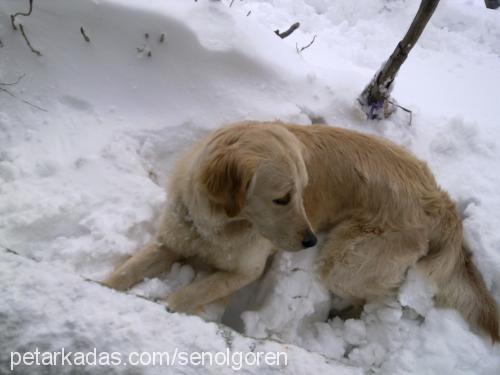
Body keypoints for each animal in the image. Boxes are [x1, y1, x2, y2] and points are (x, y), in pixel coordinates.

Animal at [103, 122, 498, 342]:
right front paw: (102, 288)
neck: (217, 225)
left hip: (346, 260)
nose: (309, 240)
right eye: (281, 198)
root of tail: (440, 201)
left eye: (303, 192)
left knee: (382, 298)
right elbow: (124, 272)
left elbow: (183, 296)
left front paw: (161, 305)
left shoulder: (245, 271)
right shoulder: (169, 241)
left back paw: (341, 319)